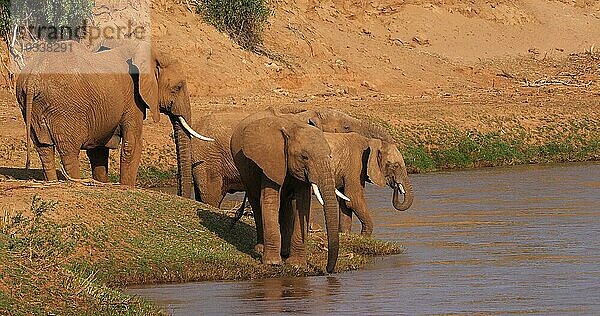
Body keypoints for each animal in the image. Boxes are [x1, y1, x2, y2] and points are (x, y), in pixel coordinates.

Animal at [14, 40, 211, 196]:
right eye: (177, 87)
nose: (183, 195)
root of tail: (32, 80)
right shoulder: (132, 100)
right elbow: (133, 144)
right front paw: (127, 187)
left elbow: (98, 151)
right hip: (65, 109)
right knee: (69, 152)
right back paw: (75, 183)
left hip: (32, 108)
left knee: (44, 149)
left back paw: (53, 182)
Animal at [231, 113, 340, 272]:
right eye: (304, 157)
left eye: (330, 156)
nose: (327, 270)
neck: (292, 128)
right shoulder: (270, 160)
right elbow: (270, 201)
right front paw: (273, 263)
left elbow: (303, 203)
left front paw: (296, 265)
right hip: (244, 171)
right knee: (256, 202)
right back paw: (260, 249)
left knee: (287, 205)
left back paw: (285, 252)